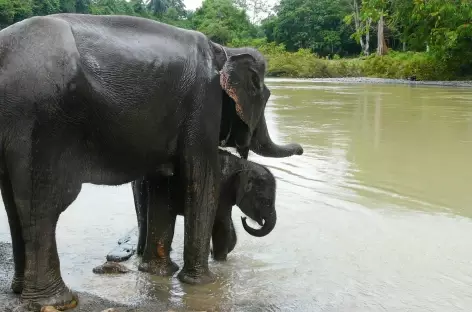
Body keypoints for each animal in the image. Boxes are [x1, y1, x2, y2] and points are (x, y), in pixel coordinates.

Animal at [134, 149, 276, 276]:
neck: (243, 165)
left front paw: (215, 255)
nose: (243, 219)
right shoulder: (221, 189)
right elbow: (222, 223)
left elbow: (226, 225)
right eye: (265, 201)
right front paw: (220, 261)